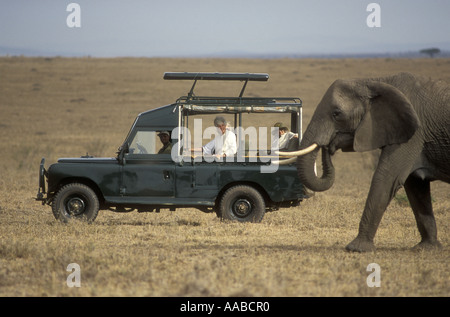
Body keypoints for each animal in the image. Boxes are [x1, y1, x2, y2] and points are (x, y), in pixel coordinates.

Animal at [284, 71, 448, 252]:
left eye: (336, 114)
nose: (330, 146)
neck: (374, 82)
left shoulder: (413, 135)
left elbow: (386, 179)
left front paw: (356, 248)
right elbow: (415, 186)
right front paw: (426, 248)